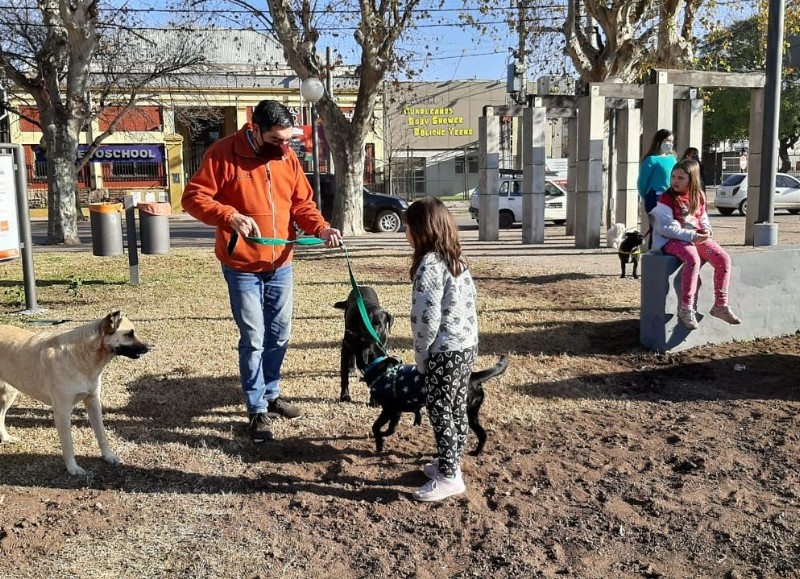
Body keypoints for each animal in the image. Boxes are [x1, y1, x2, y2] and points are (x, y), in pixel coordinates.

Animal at [0, 312, 152, 476]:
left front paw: (108, 456)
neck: (82, 354)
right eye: (129, 334)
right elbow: (68, 445)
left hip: (9, 393)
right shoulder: (62, 412)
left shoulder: (93, 402)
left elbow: (102, 434)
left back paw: (6, 437)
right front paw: (73, 468)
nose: (150, 347)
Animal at [362, 356, 506, 456]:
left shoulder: (388, 410)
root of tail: (475, 376)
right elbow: (391, 428)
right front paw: (383, 437)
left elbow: (375, 427)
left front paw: (379, 444)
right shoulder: (396, 411)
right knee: (482, 435)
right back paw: (476, 453)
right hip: (471, 415)